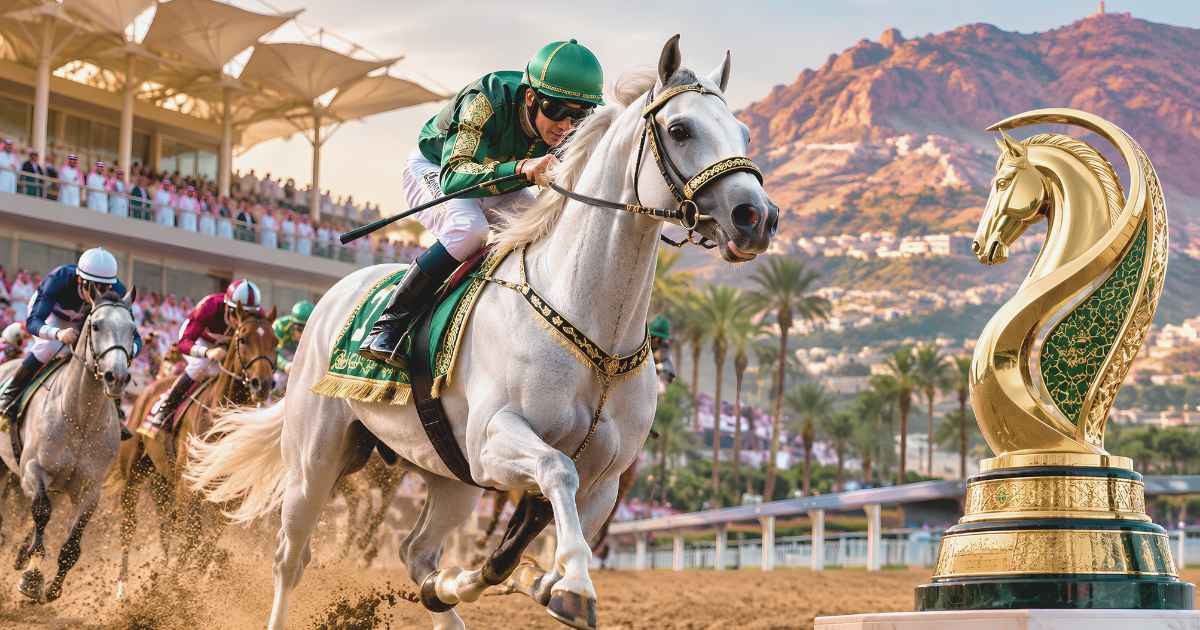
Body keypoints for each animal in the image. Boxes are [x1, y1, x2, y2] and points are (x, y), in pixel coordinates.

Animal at [0, 288, 139, 602]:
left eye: (132, 329)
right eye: (96, 325)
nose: (117, 376)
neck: (80, 419)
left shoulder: (89, 489)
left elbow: (72, 545)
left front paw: (52, 587)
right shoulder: (32, 470)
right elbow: (41, 511)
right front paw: (32, 578)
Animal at [112, 306, 277, 596]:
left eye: (275, 342)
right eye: (243, 338)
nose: (262, 384)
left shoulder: (227, 496)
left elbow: (207, 542)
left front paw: (186, 585)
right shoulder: (188, 486)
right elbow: (191, 535)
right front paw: (174, 585)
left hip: (162, 480)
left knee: (166, 527)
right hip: (135, 472)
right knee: (130, 524)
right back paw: (123, 585)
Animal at [186, 35, 775, 630]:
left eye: (744, 134)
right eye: (680, 129)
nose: (757, 217)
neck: (595, 333)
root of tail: (331, 297)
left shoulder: (604, 480)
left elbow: (538, 533)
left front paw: (533, 579)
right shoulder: (493, 439)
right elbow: (555, 471)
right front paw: (571, 585)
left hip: (447, 474)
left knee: (416, 551)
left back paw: (443, 589)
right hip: (316, 457)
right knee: (291, 556)